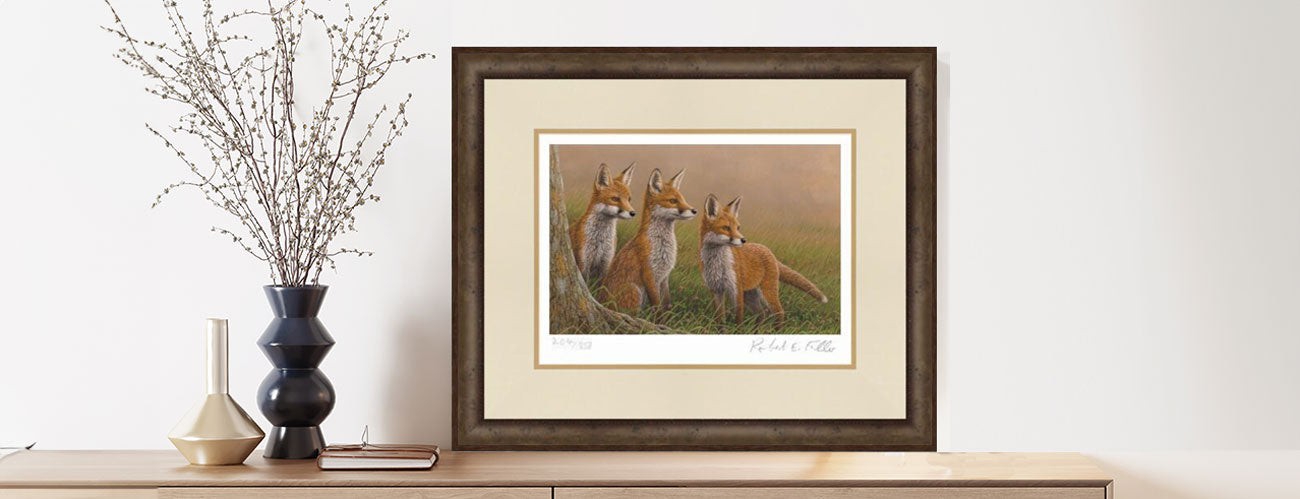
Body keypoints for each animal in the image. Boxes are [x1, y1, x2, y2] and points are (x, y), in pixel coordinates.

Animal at [598, 168, 697, 313]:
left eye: (683, 199)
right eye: (673, 201)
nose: (695, 210)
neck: (661, 245)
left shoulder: (664, 276)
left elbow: (667, 304)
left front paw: (667, 317)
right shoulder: (649, 274)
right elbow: (657, 305)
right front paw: (659, 318)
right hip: (634, 291)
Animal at [698, 194, 827, 329]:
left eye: (738, 227)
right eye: (726, 228)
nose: (744, 240)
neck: (717, 263)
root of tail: (768, 250)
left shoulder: (735, 289)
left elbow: (739, 318)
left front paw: (738, 331)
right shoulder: (716, 289)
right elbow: (719, 319)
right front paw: (721, 330)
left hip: (766, 292)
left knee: (779, 312)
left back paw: (776, 331)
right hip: (750, 295)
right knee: (761, 313)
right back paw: (756, 331)